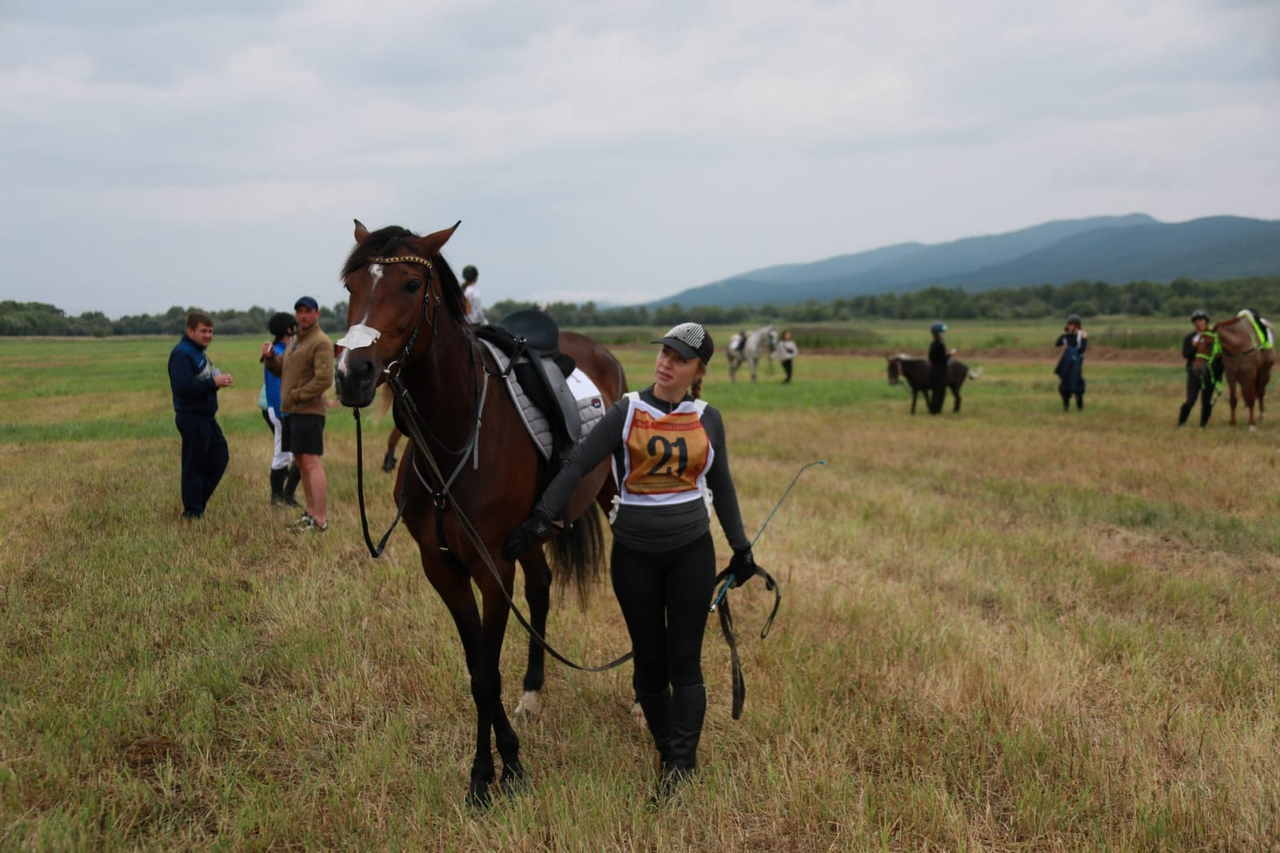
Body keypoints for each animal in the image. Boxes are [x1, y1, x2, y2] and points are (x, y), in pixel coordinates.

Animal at [332, 220, 627, 804]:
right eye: (352, 286)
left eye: (411, 286)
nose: (353, 373)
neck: (455, 434)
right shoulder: (442, 566)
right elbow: (476, 668)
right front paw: (494, 766)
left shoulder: (492, 566)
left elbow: (487, 671)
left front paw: (497, 772)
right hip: (530, 536)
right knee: (542, 588)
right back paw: (533, 692)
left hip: (608, 496)